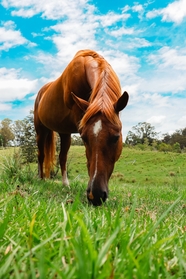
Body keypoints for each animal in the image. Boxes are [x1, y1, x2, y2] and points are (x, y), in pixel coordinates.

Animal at [34, 50, 129, 207]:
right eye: (84, 138)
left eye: (116, 138)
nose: (96, 195)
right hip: (40, 131)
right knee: (41, 155)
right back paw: (41, 179)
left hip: (64, 133)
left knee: (62, 157)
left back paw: (65, 184)